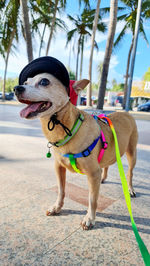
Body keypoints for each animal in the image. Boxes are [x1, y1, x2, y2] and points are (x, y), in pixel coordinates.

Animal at [14, 56, 138, 231]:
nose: (16, 88)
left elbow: (92, 198)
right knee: (106, 165)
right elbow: (61, 190)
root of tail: (126, 112)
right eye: (26, 81)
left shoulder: (92, 174)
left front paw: (90, 218)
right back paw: (104, 177)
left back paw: (130, 189)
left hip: (132, 153)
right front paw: (57, 207)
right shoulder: (59, 168)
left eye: (44, 81)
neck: (66, 128)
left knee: (130, 173)